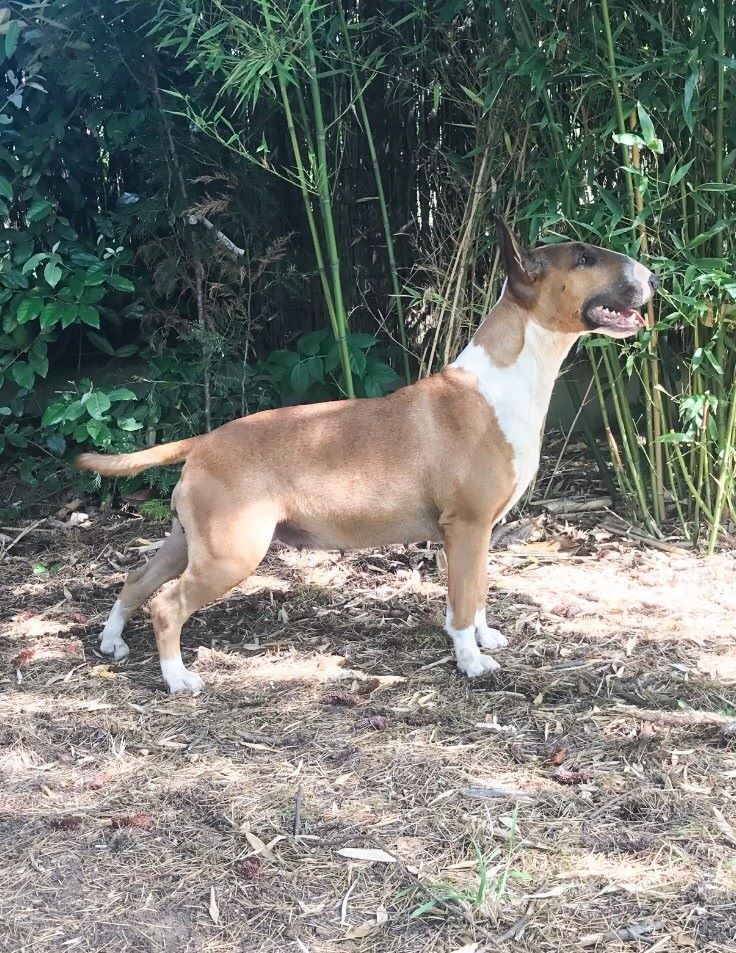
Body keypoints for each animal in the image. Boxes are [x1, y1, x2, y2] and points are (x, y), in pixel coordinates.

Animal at [77, 219, 657, 694]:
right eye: (584, 258)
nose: (653, 278)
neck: (504, 381)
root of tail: (204, 441)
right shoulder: (465, 526)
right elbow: (462, 601)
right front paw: (470, 661)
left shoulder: (481, 532)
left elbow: (477, 591)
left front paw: (484, 638)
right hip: (231, 554)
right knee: (167, 604)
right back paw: (178, 678)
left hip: (189, 542)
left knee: (137, 581)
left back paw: (112, 642)